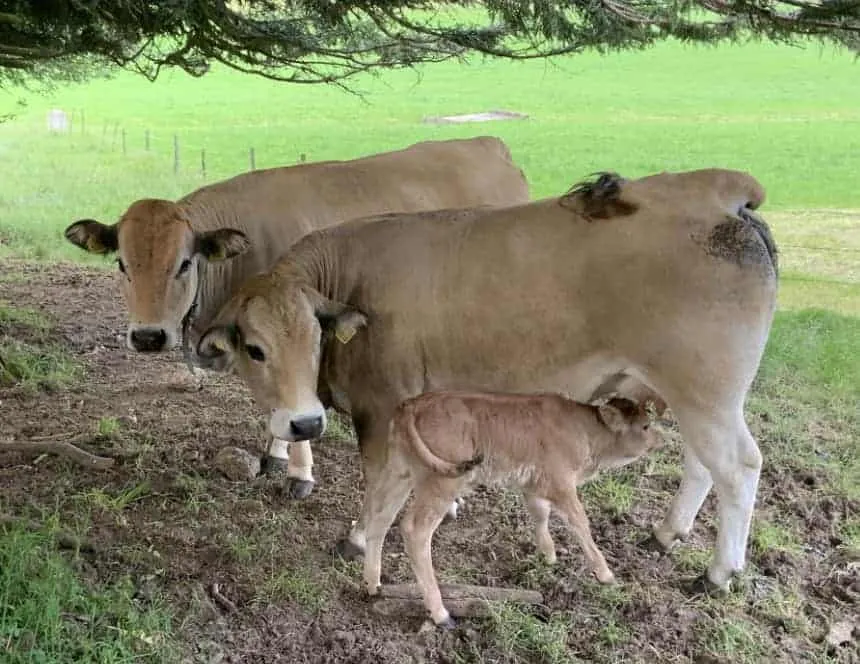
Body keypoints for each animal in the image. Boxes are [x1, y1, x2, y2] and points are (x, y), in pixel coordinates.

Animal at [62, 136, 530, 499]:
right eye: (121, 263)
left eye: (183, 264)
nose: (148, 337)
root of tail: (488, 144)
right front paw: (274, 453)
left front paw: (299, 472)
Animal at [194, 167, 779, 595]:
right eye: (255, 349)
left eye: (316, 337)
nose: (305, 423)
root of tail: (718, 191)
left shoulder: (381, 407)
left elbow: (380, 483)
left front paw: (359, 538)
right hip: (689, 395)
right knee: (701, 464)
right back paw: (666, 533)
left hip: (707, 394)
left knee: (738, 466)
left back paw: (717, 573)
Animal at [364, 391, 666, 628]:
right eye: (646, 426)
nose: (660, 440)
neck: (585, 432)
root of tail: (413, 404)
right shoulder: (561, 485)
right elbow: (580, 523)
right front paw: (605, 574)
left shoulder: (534, 485)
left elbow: (540, 513)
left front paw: (548, 554)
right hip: (440, 485)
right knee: (414, 530)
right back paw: (440, 614)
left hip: (400, 473)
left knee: (379, 516)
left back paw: (372, 584)